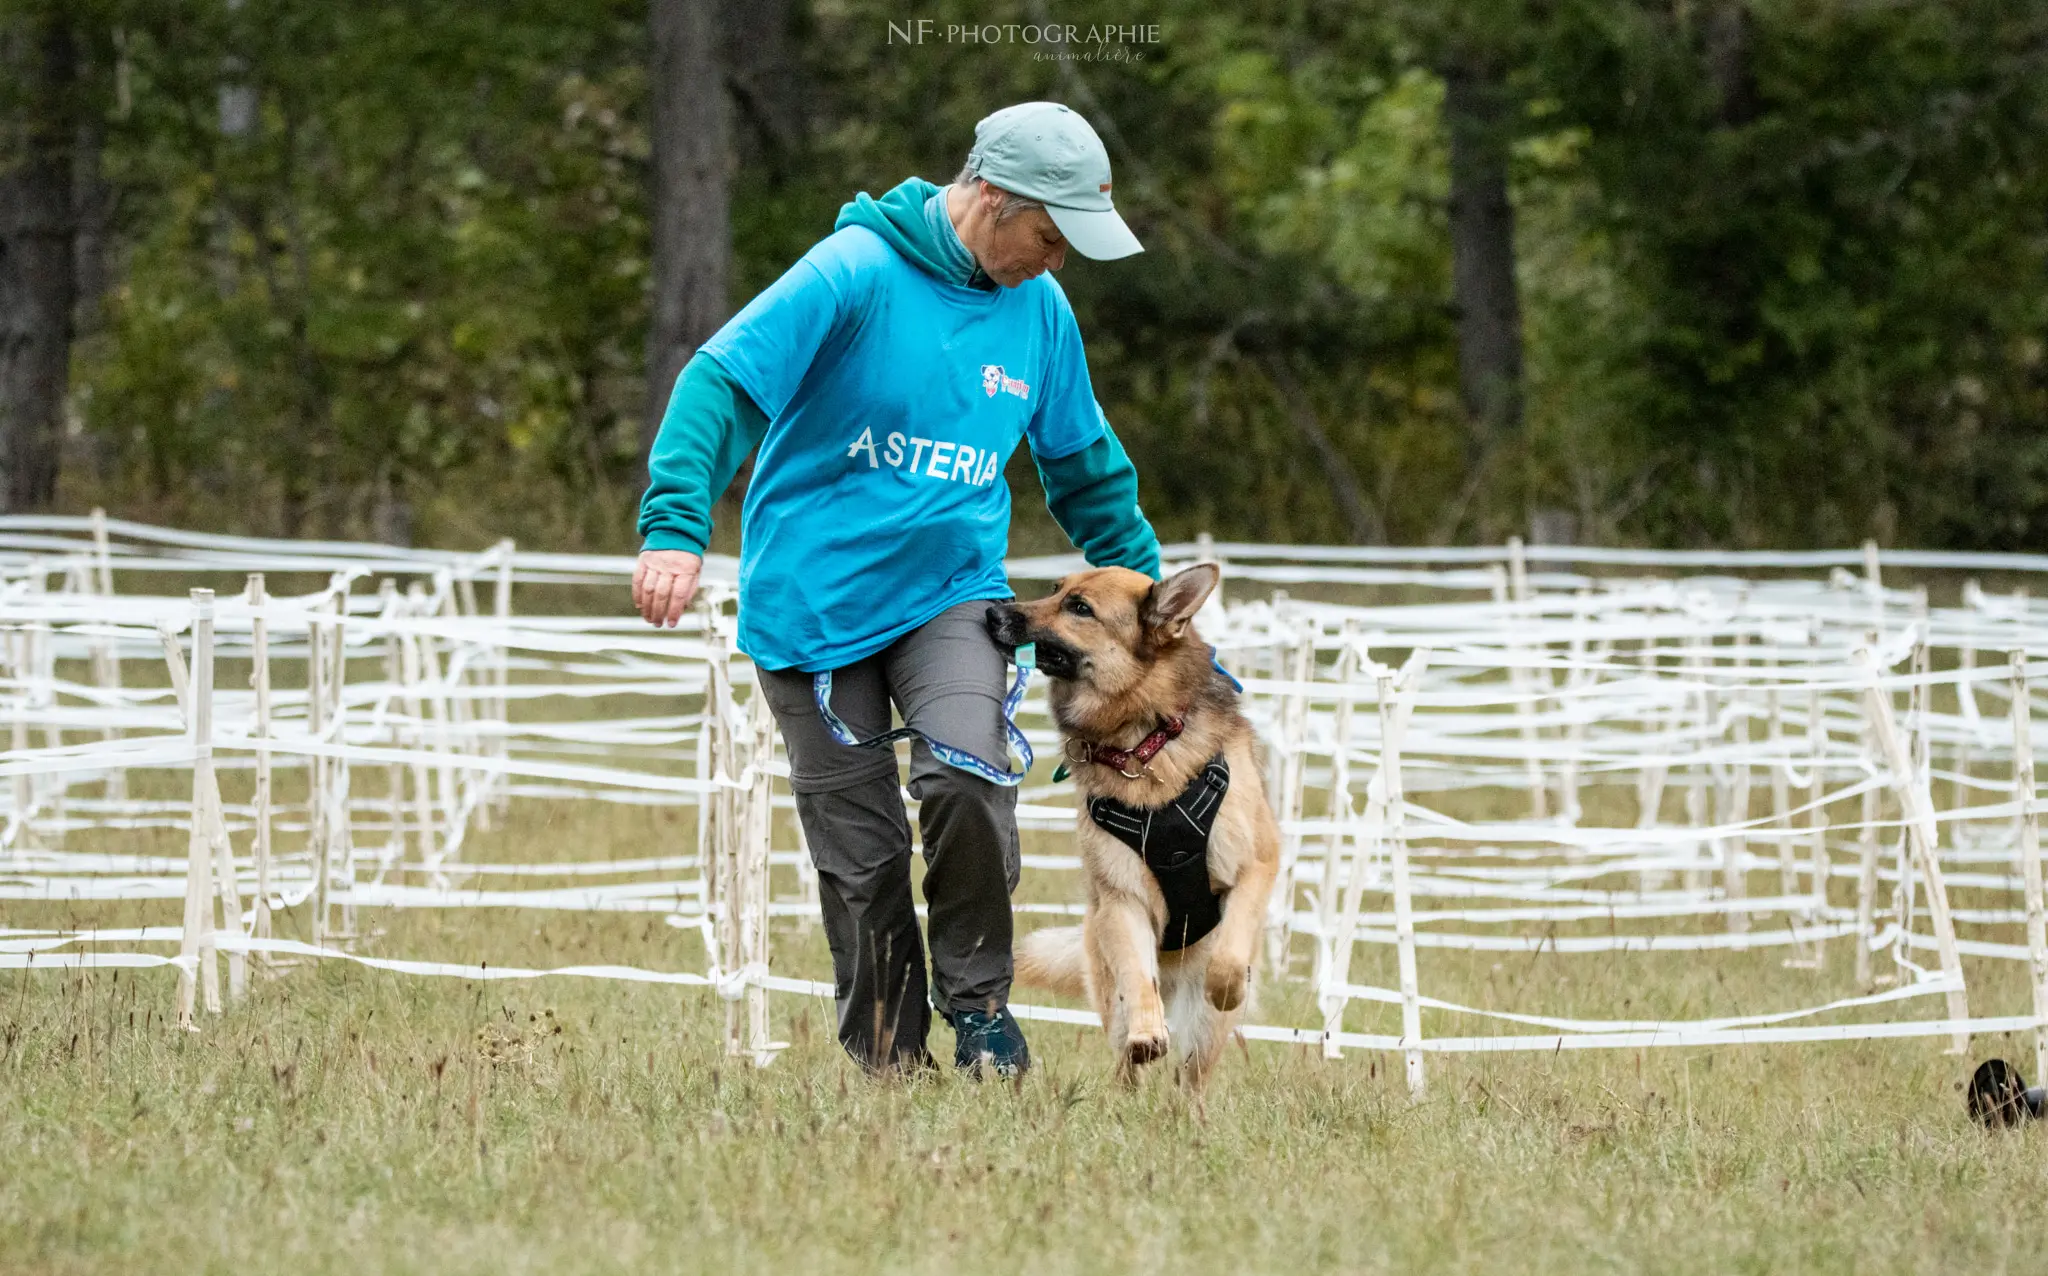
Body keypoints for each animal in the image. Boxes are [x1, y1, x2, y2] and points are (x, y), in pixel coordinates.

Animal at [987, 565, 1277, 1089]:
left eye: (1079, 607)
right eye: (1057, 589)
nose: (992, 613)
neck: (1146, 739)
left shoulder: (1256, 866)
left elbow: (1229, 957)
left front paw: (1228, 987)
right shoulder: (1123, 900)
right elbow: (1138, 981)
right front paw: (1147, 1033)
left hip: (1203, 1037)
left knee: (1191, 1078)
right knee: (1129, 1056)